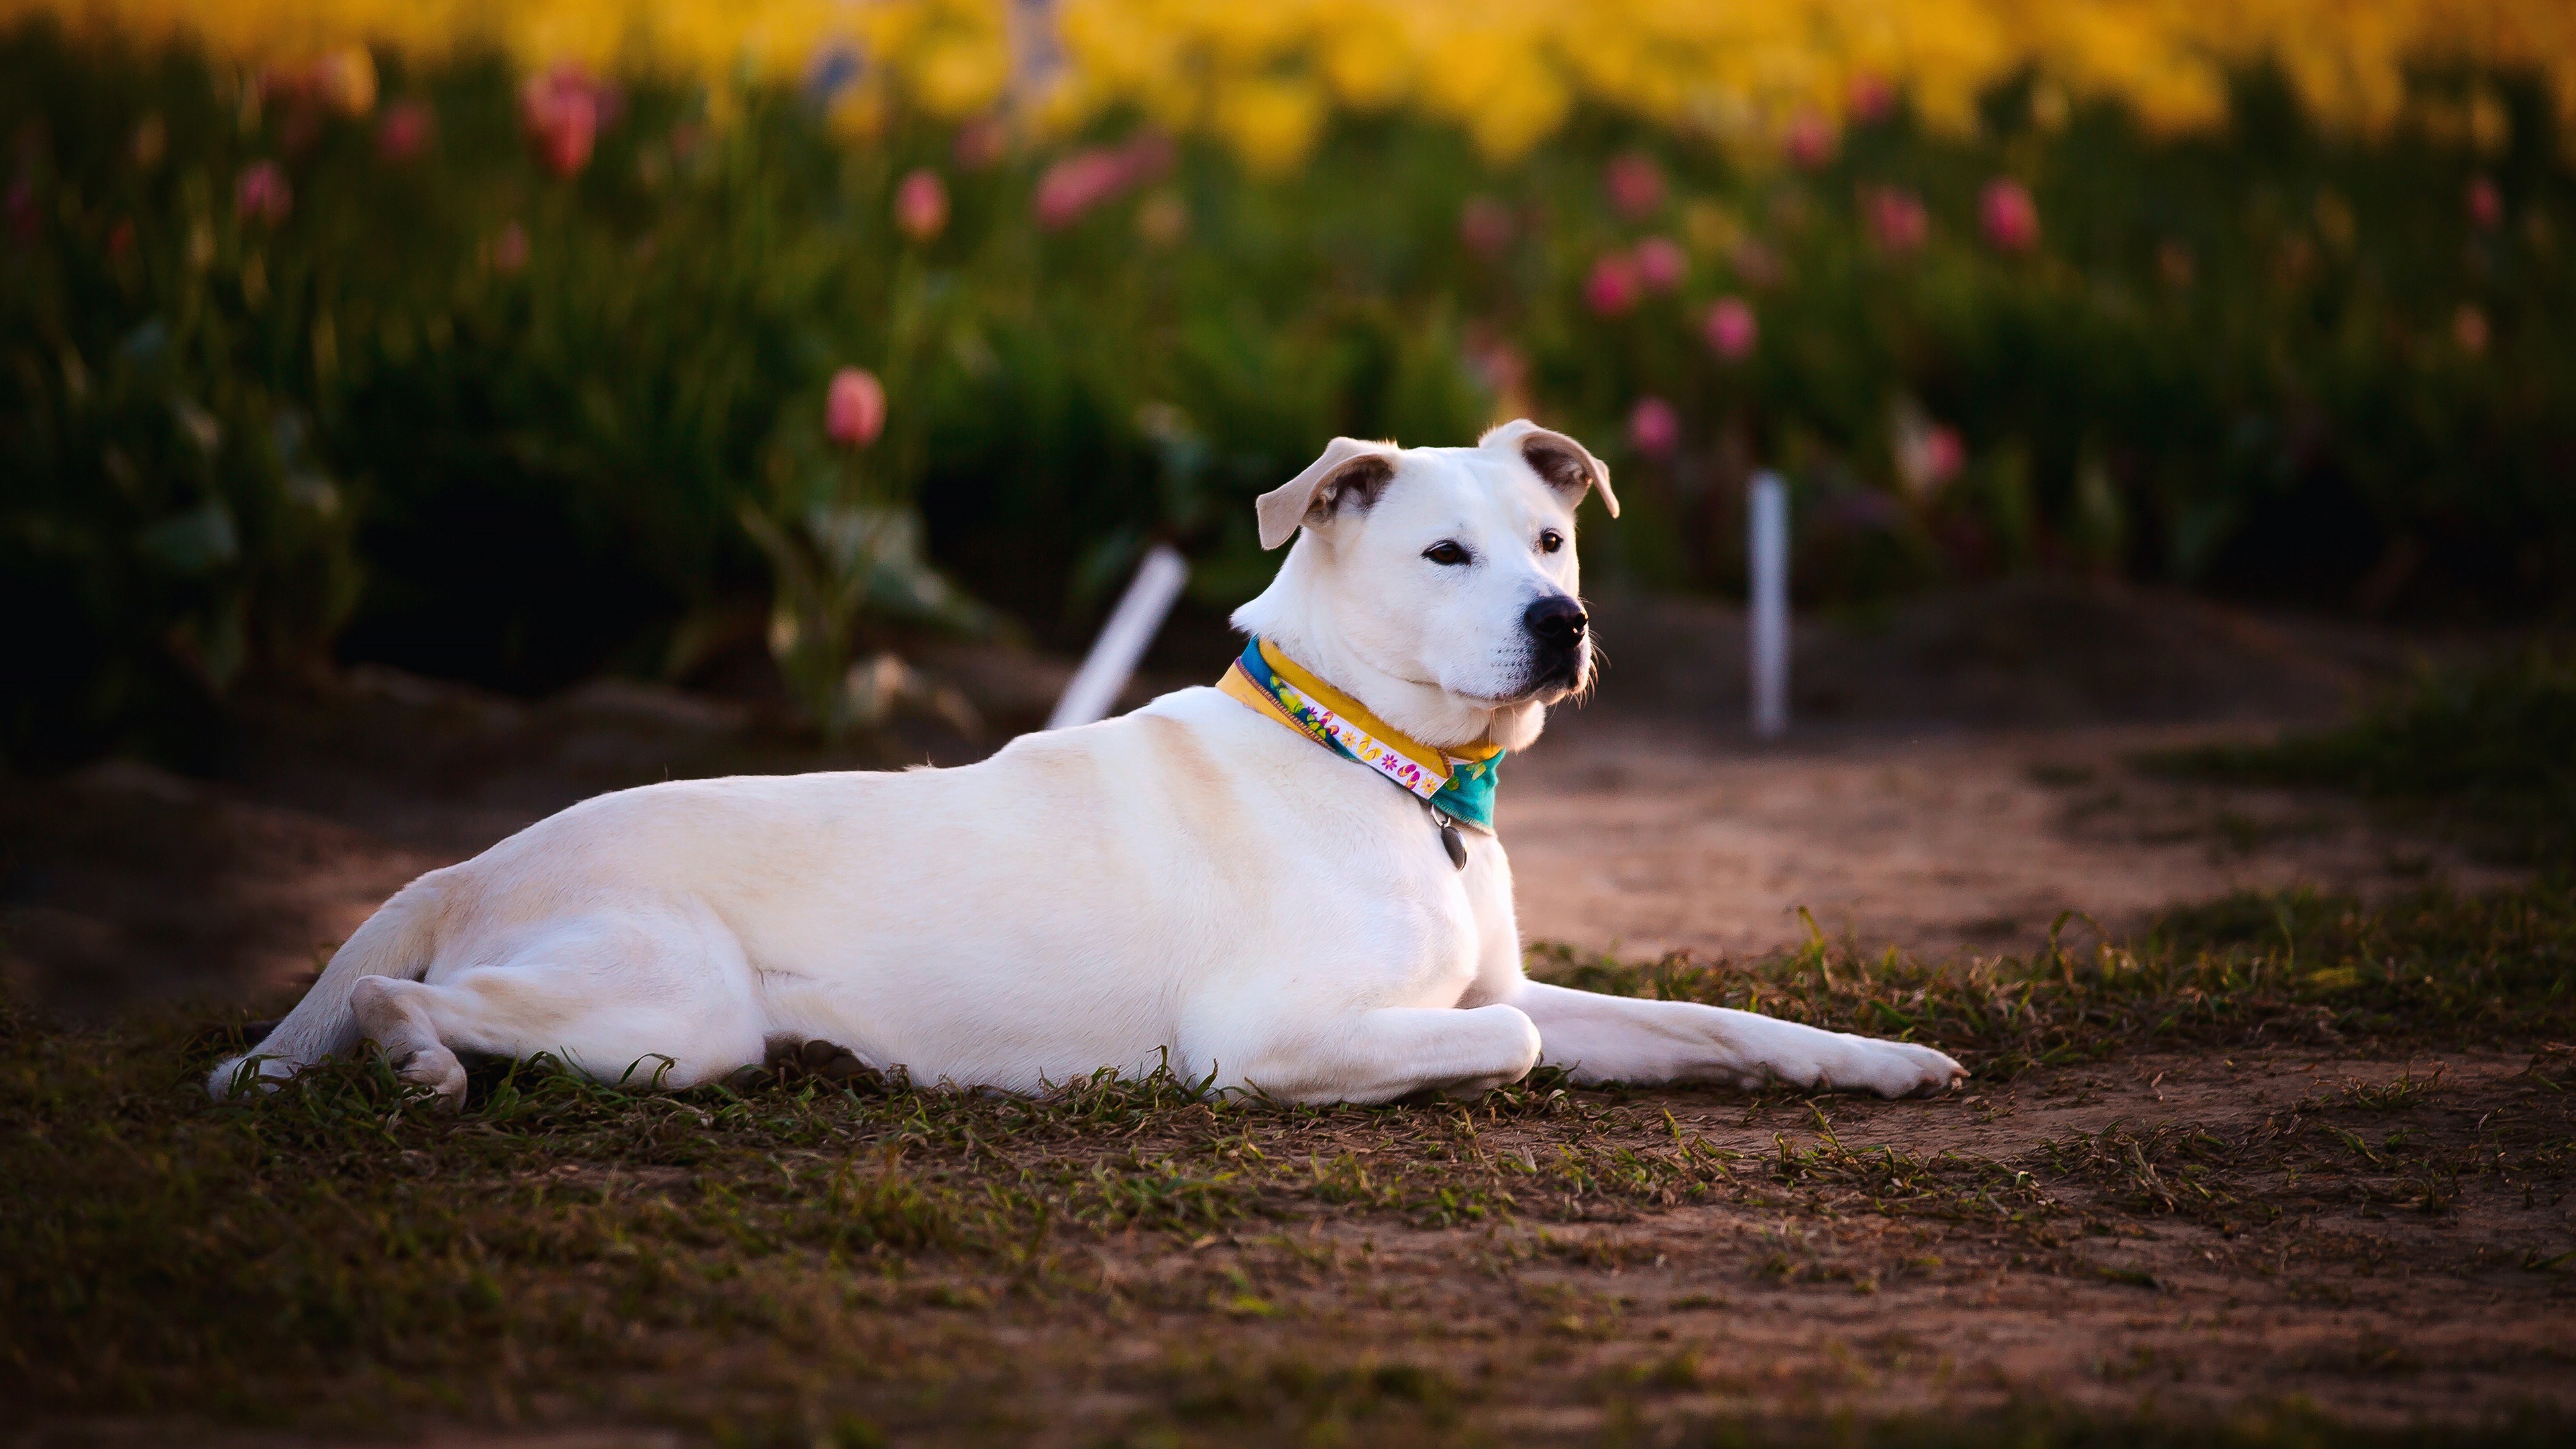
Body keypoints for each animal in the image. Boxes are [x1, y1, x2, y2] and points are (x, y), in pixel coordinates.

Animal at [211, 423, 1957, 1098]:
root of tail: (478, 859)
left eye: (1548, 538)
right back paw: (423, 1066)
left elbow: (1709, 1020)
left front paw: (1876, 1060)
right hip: (673, 1014)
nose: (1562, 623)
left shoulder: (1504, 984)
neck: (1379, 764)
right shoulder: (1267, 1038)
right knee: (397, 1000)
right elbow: (1512, 1049)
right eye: (1446, 554)